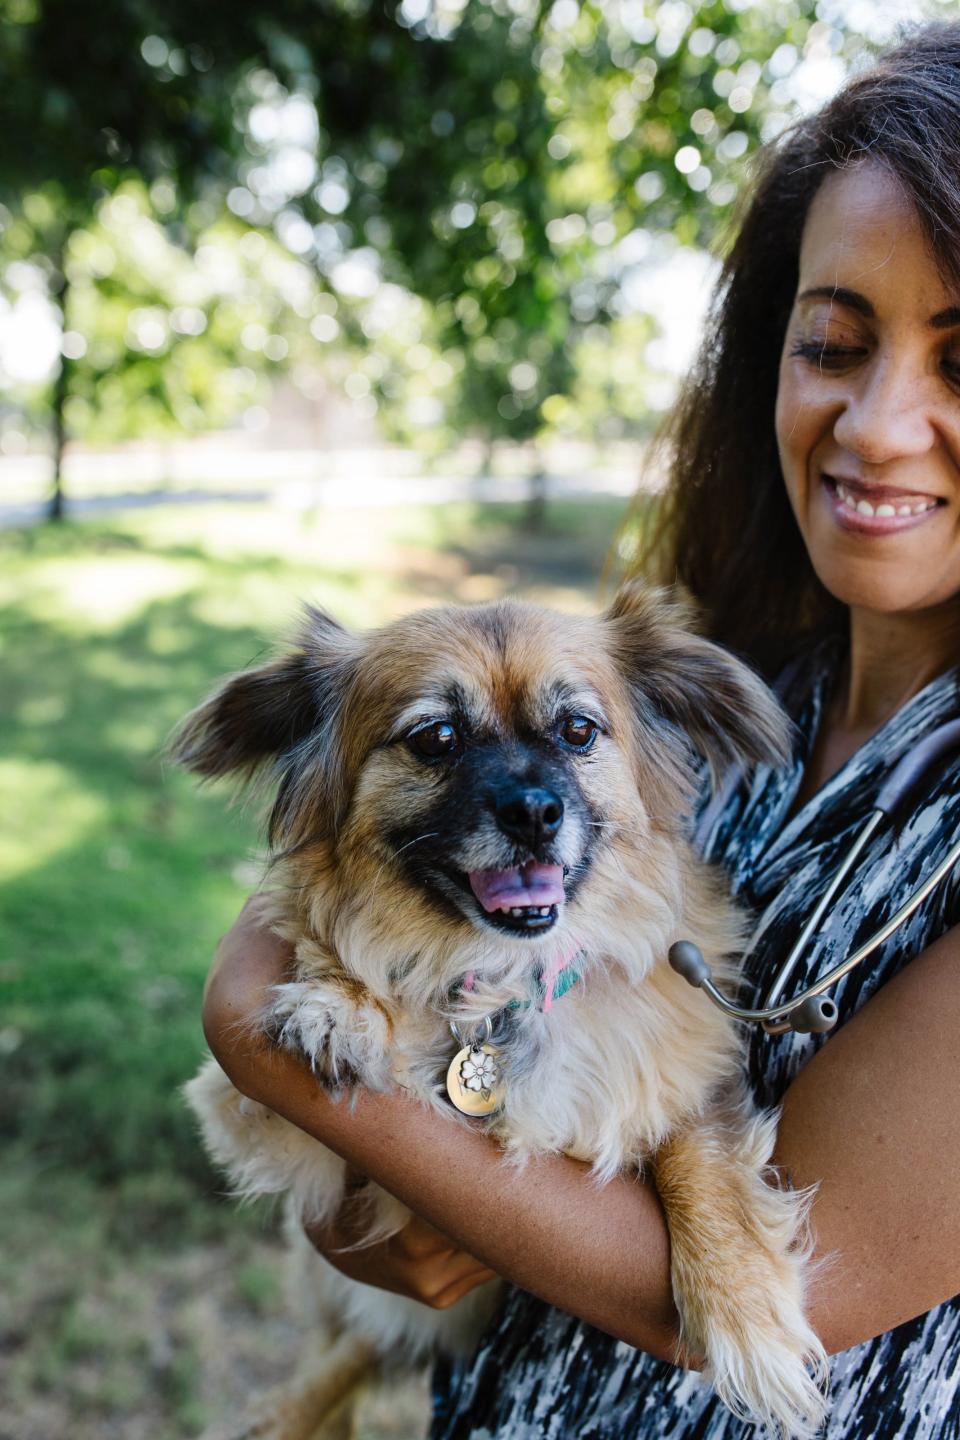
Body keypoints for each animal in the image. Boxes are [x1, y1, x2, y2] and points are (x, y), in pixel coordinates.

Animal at [176, 584, 829, 1440]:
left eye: (578, 731)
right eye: (437, 738)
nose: (533, 811)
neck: (500, 984)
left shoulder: (686, 1071)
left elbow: (701, 1157)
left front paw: (746, 1314)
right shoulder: (254, 1117)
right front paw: (342, 1007)